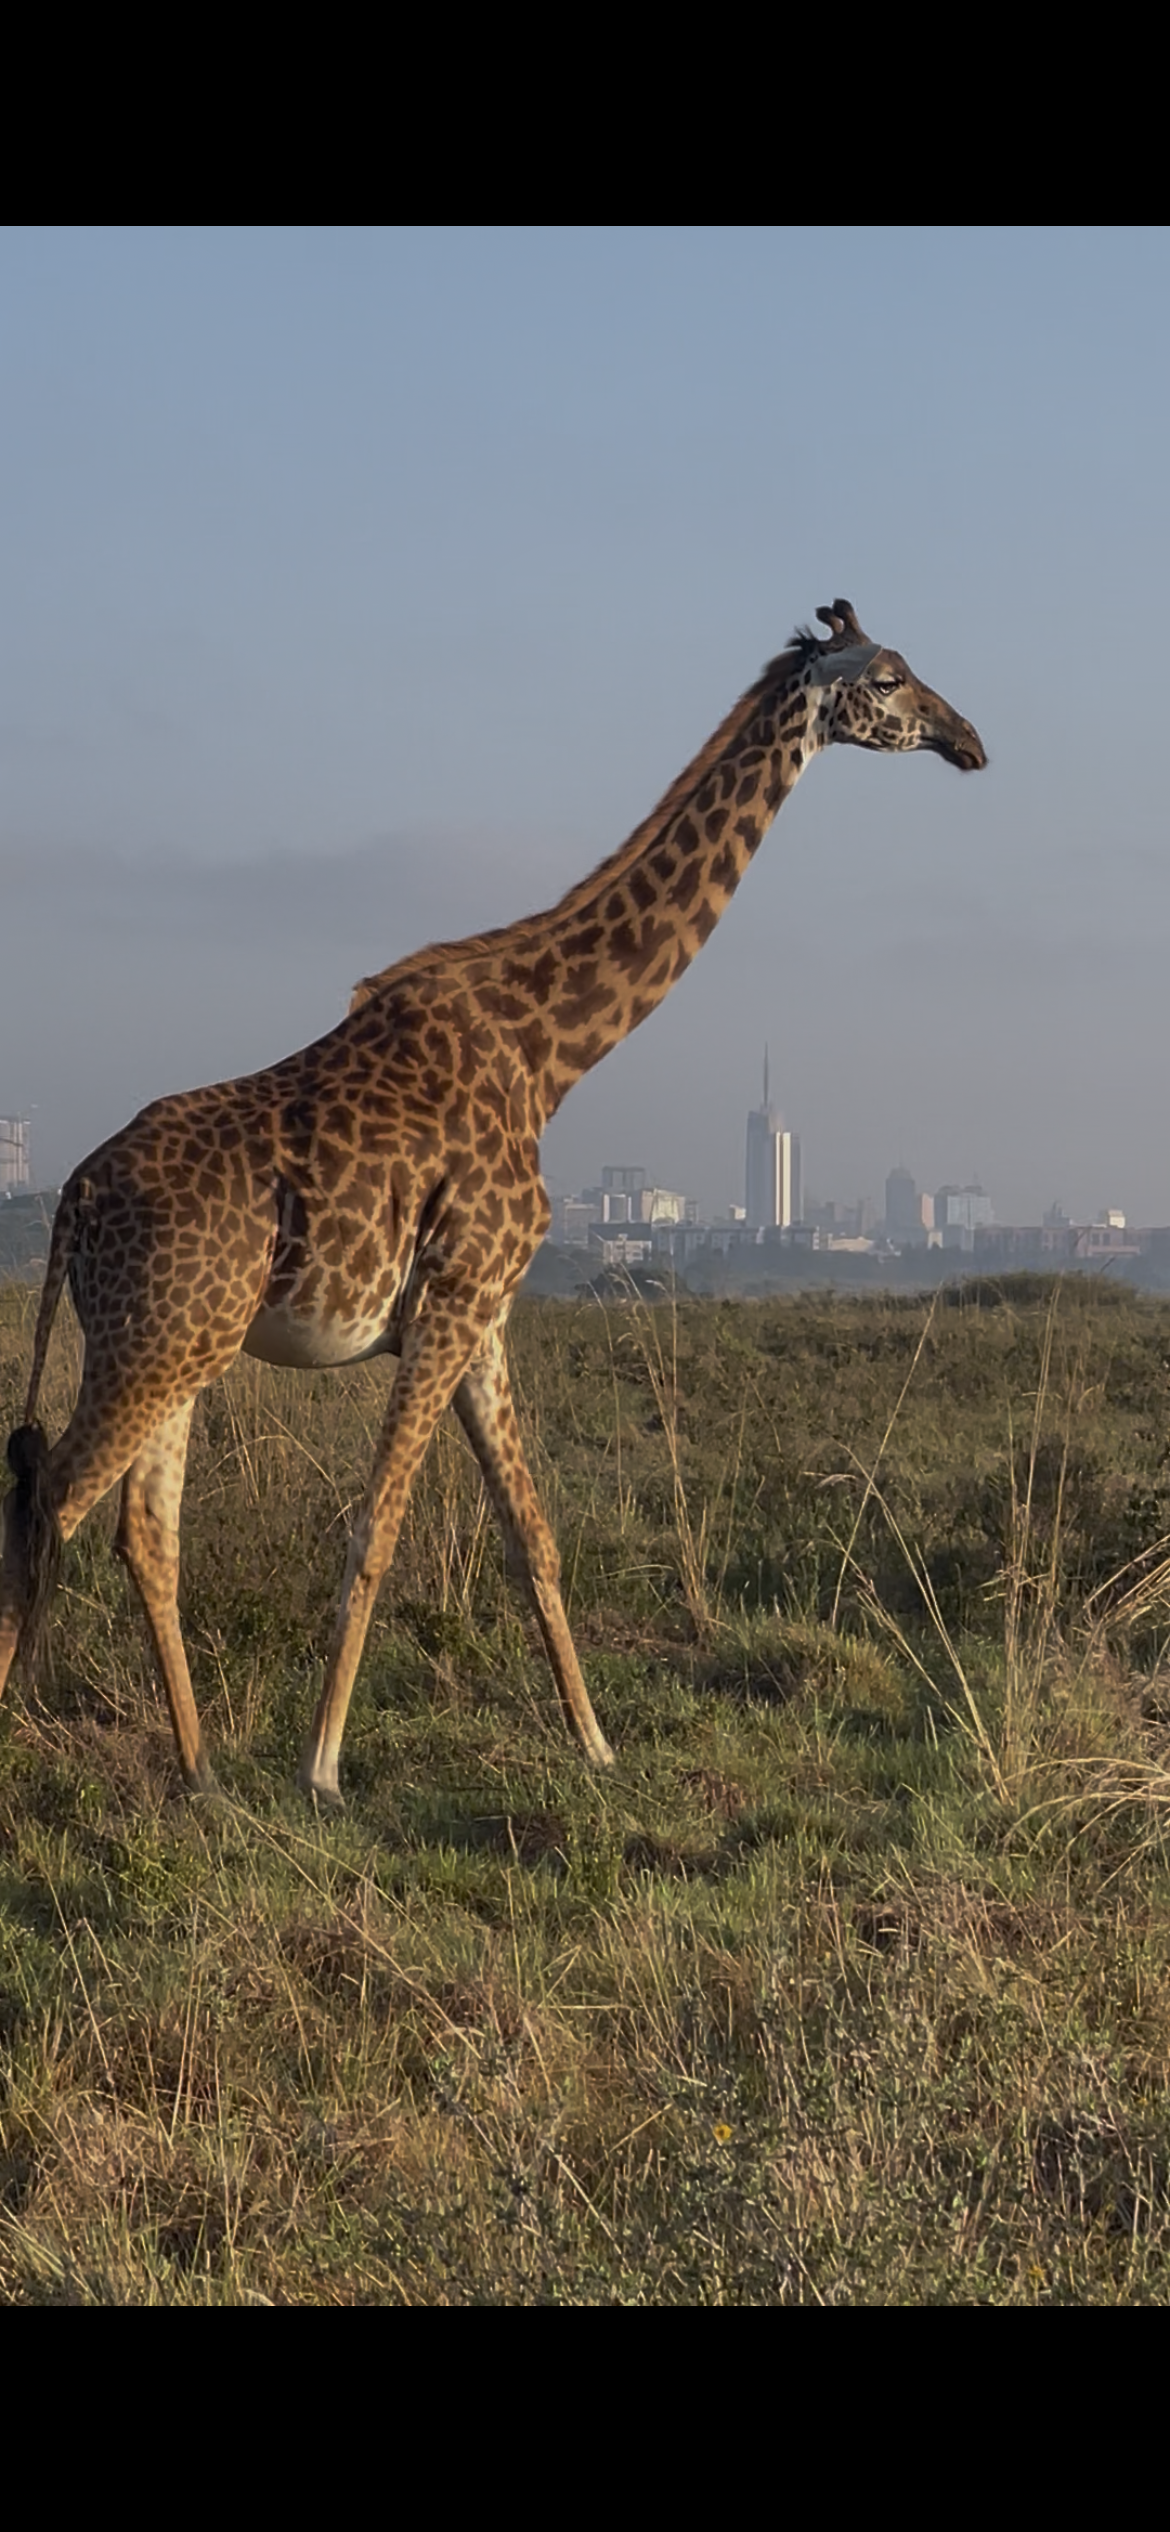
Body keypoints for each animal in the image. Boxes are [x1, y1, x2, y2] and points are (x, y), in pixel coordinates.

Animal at [0, 601, 985, 1808]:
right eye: (889, 679)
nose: (968, 741)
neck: (549, 1051)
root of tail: (72, 1198)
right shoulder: (454, 1300)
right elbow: (376, 1526)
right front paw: (323, 1770)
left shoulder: (486, 1318)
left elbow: (532, 1533)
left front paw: (597, 1745)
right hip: (150, 1346)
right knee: (48, 1505)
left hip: (181, 1344)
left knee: (142, 1531)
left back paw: (202, 1774)